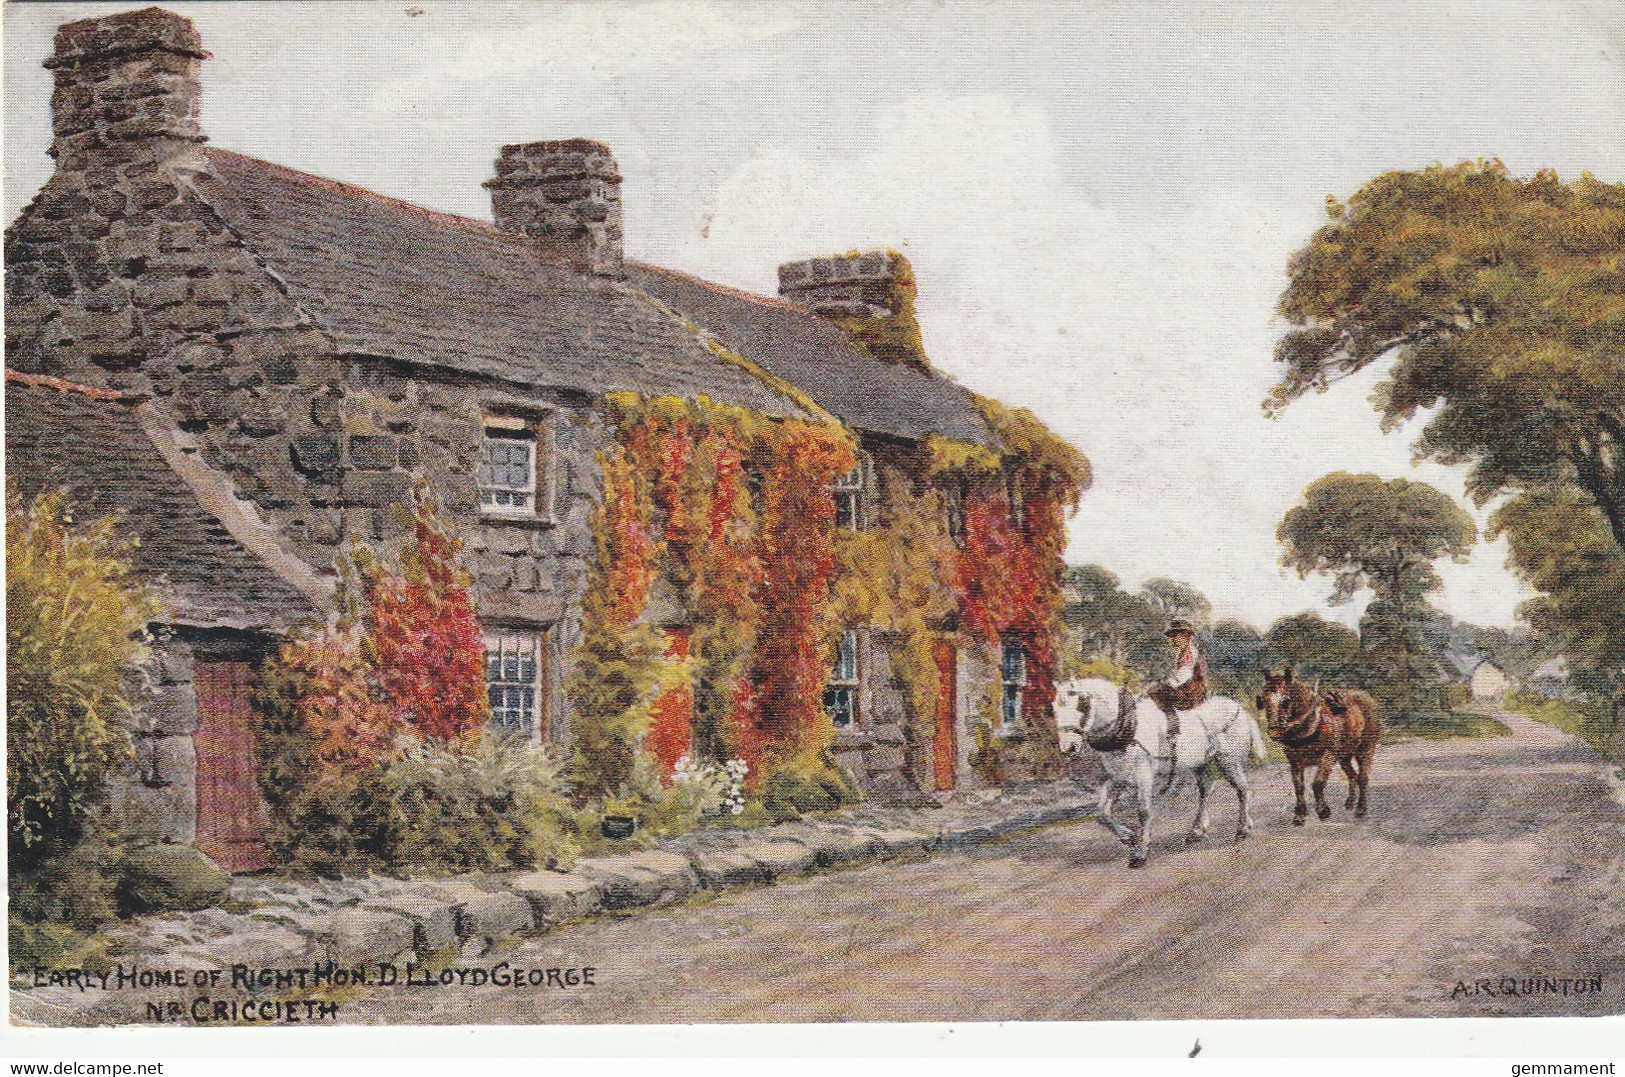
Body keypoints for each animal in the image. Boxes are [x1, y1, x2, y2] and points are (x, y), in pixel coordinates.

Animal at [1053, 682, 1267, 870]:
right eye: (1054, 709)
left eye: (1080, 706)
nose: (1068, 748)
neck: (1130, 730)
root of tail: (1239, 709)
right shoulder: (1117, 779)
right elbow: (1102, 813)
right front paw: (1128, 837)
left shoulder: (1143, 777)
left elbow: (1143, 812)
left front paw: (1140, 853)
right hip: (1200, 765)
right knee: (1207, 790)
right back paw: (1197, 831)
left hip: (1229, 762)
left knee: (1242, 789)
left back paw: (1242, 829)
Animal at [1248, 675, 1378, 825]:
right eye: (1264, 700)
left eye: (1286, 701)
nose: (1275, 732)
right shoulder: (1295, 761)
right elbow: (1298, 786)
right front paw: (1300, 815)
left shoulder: (1328, 756)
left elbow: (1317, 783)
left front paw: (1323, 811)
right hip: (1344, 756)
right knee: (1352, 776)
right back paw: (1350, 804)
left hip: (1365, 749)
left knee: (1362, 778)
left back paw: (1360, 809)